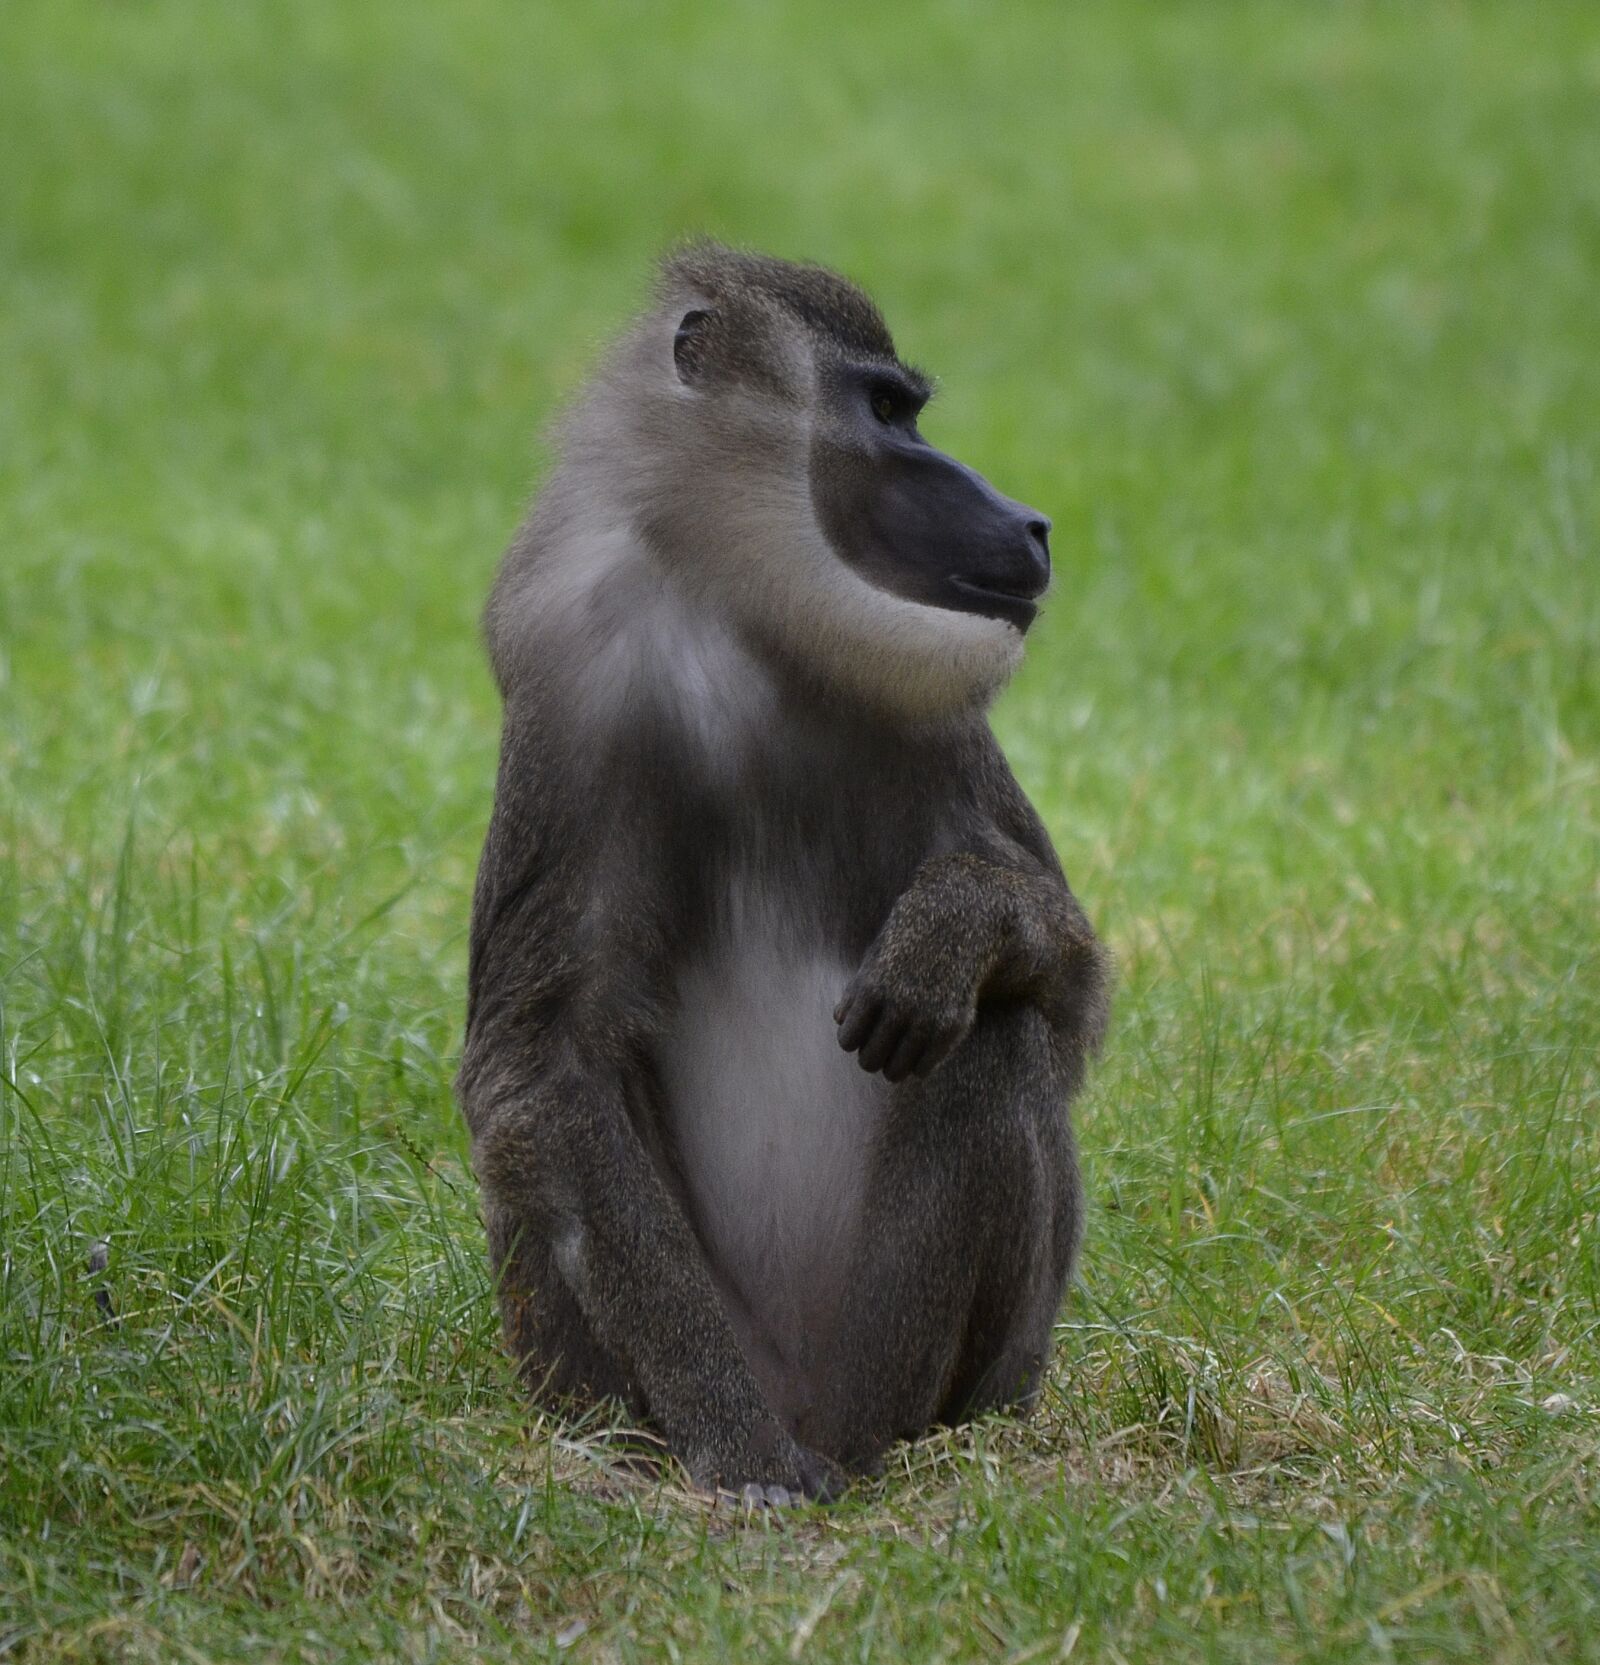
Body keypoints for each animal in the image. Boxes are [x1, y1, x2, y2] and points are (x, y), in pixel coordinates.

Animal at [457, 242, 1109, 1504]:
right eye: (886, 411)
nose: (1033, 522)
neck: (745, 618)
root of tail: (829, 1415)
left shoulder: (943, 723)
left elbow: (1068, 991)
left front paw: (955, 927)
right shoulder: (574, 668)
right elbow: (542, 1060)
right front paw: (740, 1450)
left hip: (914, 1369)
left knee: (991, 1038)